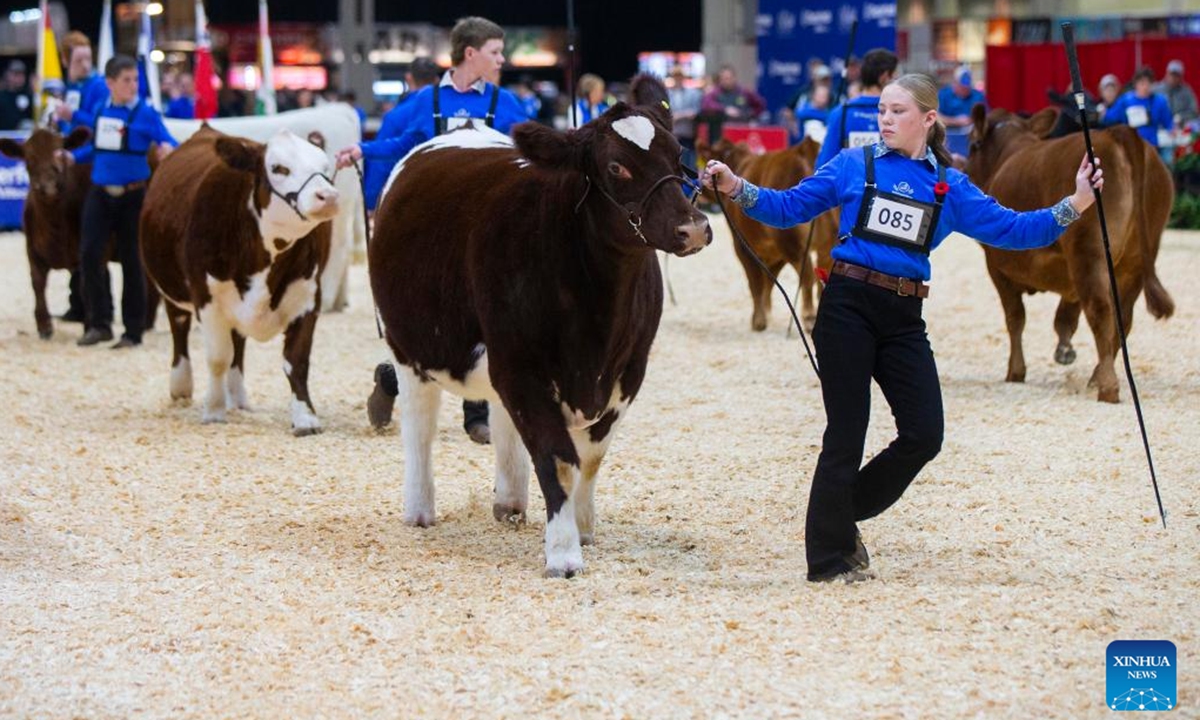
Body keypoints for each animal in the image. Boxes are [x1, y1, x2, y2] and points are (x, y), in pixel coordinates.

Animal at [142, 125, 345, 432]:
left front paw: (305, 418)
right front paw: (213, 411)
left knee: (237, 343)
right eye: (279, 168)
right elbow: (217, 358)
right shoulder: (207, 299)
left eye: (324, 167)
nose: (328, 196)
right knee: (180, 329)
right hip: (173, 291)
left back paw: (237, 396)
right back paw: (181, 386)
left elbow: (296, 361)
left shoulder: (307, 297)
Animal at [700, 135, 840, 331]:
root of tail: (804, 148)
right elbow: (770, 281)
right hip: (827, 245)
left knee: (807, 276)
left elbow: (756, 282)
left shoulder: (742, 246)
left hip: (792, 243)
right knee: (821, 273)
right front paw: (766, 312)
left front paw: (758, 321)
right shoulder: (775, 254)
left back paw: (808, 317)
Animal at [964, 105, 1171, 403]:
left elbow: (1015, 318)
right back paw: (1097, 376)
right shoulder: (1069, 276)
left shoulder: (996, 267)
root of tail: (1116, 134)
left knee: (1100, 311)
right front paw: (1064, 350)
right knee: (1122, 319)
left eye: (973, 145)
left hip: (1089, 250)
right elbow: (1065, 317)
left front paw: (1015, 371)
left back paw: (1108, 386)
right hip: (1135, 262)